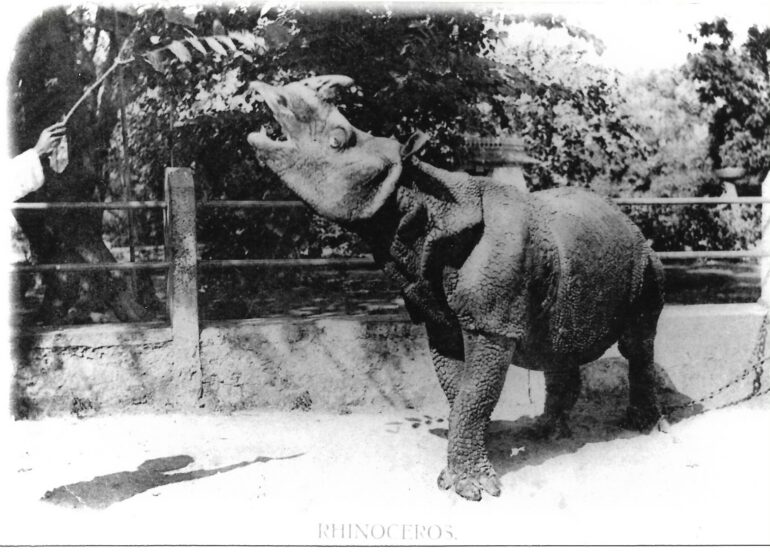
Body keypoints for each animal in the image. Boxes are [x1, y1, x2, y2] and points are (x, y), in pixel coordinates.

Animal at [247, 75, 666, 501]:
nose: (269, 93)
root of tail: (624, 216)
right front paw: (476, 458)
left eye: (338, 139)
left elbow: (474, 392)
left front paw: (471, 487)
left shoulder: (492, 322)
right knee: (558, 344)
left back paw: (644, 428)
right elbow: (459, 388)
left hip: (646, 258)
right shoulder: (437, 316)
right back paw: (549, 433)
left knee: (637, 341)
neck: (419, 201)